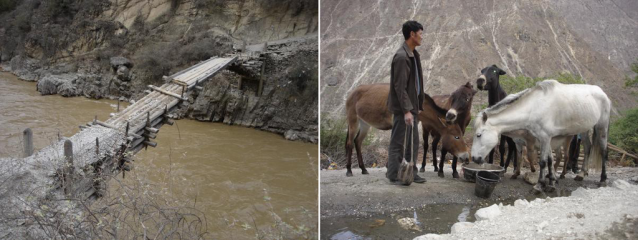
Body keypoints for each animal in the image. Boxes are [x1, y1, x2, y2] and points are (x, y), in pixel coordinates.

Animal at [472, 79, 612, 192]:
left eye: (478, 135)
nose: (474, 158)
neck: (535, 107)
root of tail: (602, 92)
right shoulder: (544, 139)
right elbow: (549, 160)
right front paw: (551, 182)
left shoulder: (545, 138)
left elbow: (543, 162)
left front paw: (540, 185)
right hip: (584, 130)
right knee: (588, 148)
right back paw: (581, 174)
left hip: (601, 127)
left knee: (603, 151)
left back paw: (603, 179)